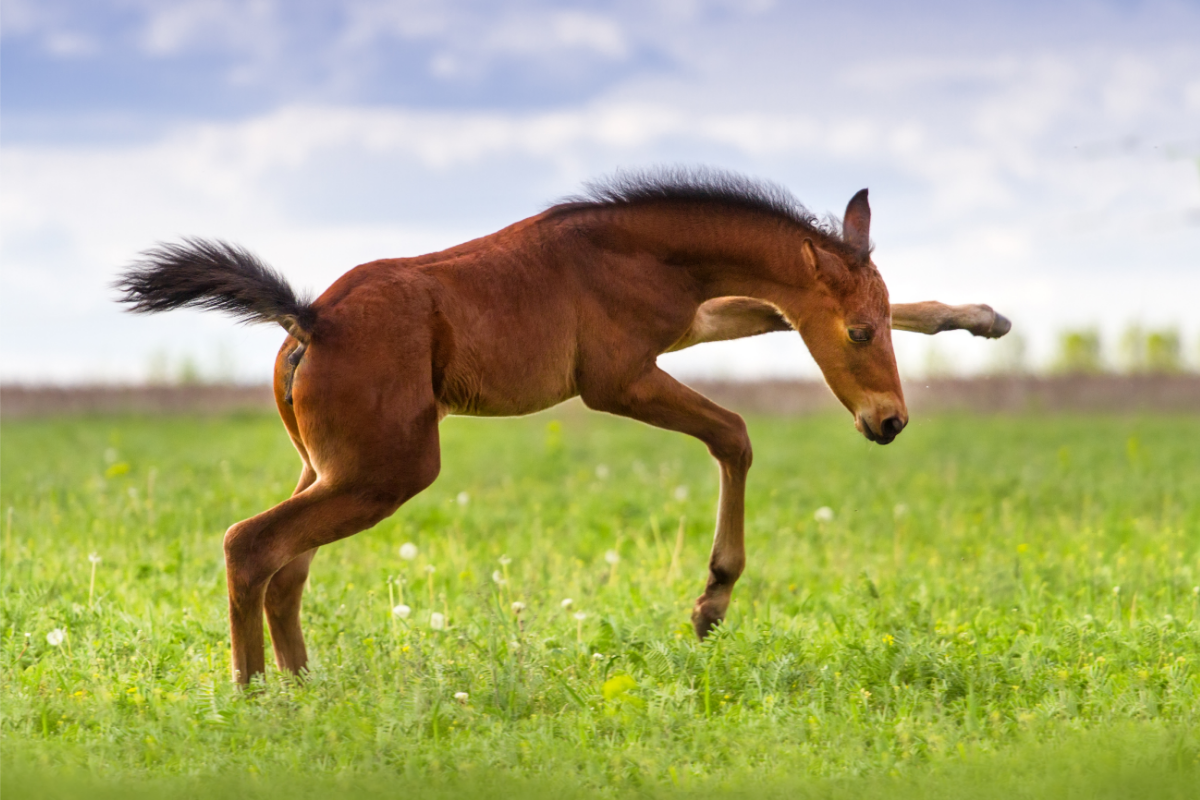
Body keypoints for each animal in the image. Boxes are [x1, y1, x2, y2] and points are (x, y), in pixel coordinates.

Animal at [114, 169, 1012, 681]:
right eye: (858, 333)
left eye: (879, 324)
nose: (889, 421)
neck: (635, 247)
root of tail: (310, 318)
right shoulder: (615, 379)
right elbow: (734, 432)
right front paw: (712, 601)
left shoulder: (687, 324)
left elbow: (763, 317)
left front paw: (983, 318)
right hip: (386, 471)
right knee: (251, 545)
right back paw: (256, 697)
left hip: (331, 466)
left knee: (287, 567)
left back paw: (306, 689)